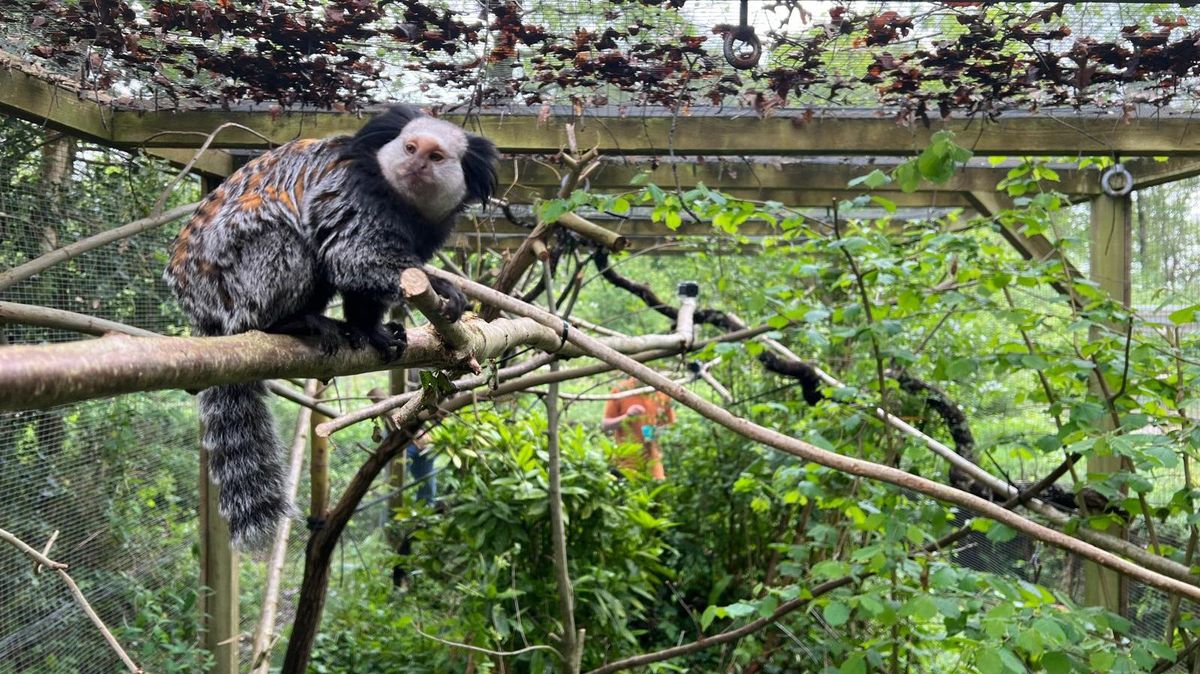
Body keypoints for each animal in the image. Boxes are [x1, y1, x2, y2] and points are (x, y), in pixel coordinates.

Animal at [163, 105, 498, 548]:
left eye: (437, 156)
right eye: (410, 147)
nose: (416, 165)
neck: (401, 201)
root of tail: (201, 314)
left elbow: (361, 285)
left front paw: (372, 330)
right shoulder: (353, 190)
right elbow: (353, 254)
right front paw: (441, 285)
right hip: (233, 279)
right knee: (284, 237)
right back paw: (288, 322)